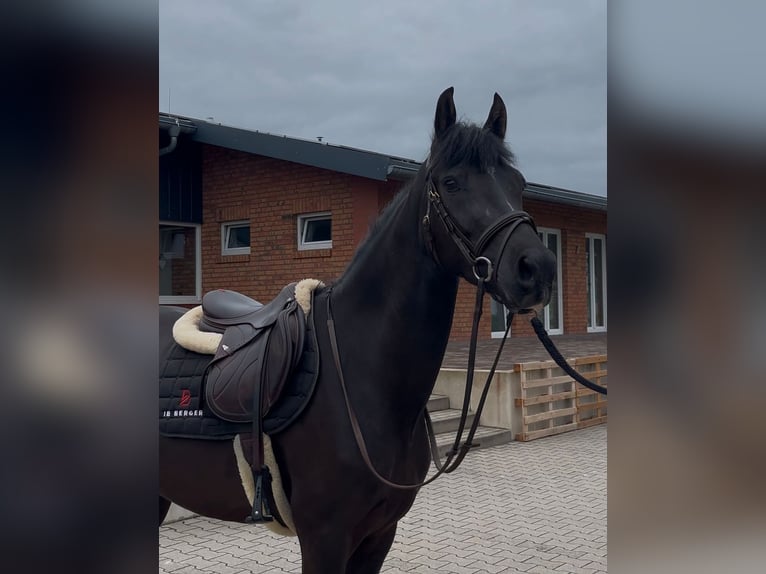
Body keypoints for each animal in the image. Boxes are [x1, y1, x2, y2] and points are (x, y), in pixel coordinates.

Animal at [159, 87, 556, 573]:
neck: (360, 373)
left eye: (518, 182)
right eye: (452, 182)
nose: (536, 268)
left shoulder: (379, 533)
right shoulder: (324, 538)